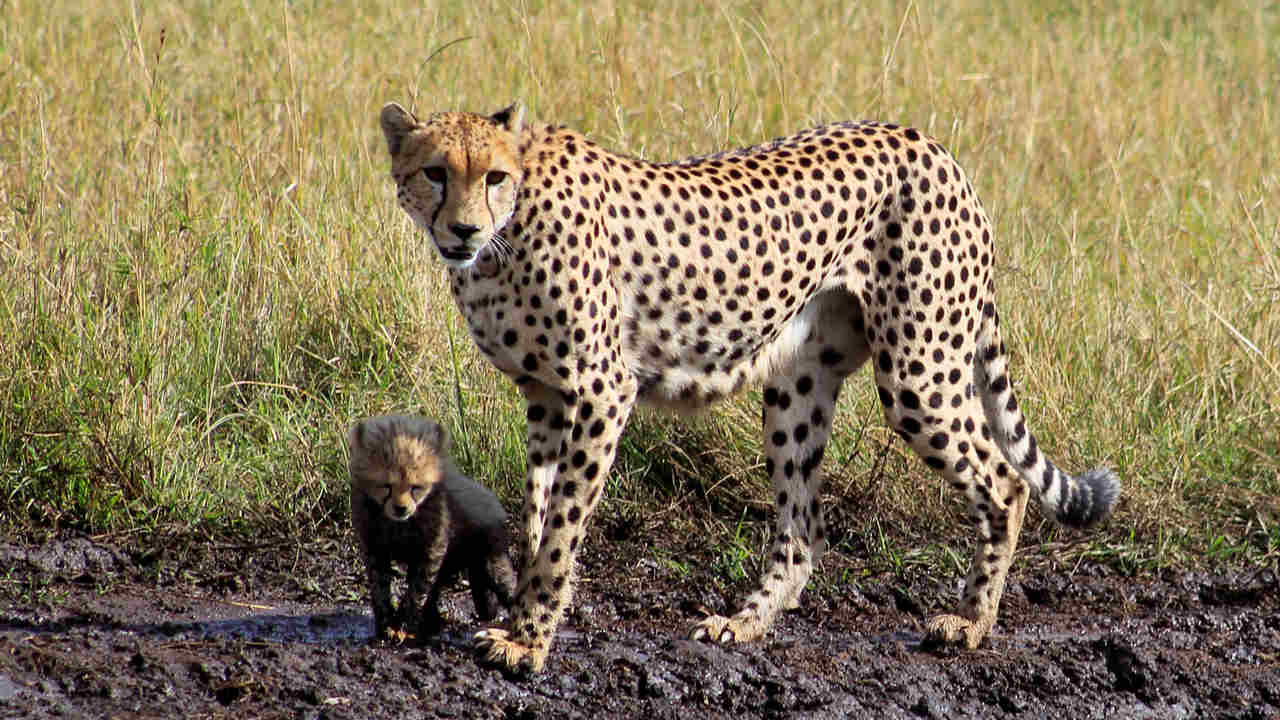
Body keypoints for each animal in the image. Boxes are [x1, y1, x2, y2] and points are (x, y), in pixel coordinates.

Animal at [347, 413, 517, 643]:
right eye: (386, 486)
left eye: (415, 487)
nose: (401, 508)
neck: (399, 523)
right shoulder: (374, 547)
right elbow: (379, 587)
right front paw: (385, 625)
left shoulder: (432, 550)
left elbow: (417, 590)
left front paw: (402, 625)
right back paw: (432, 622)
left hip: (490, 558)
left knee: (507, 583)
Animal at [377, 99, 1120, 672]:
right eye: (436, 173)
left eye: (494, 177)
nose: (464, 228)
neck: (504, 239)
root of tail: (928, 143)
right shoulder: (546, 396)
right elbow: (539, 516)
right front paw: (524, 617)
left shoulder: (601, 390)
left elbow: (562, 524)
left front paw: (528, 644)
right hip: (799, 383)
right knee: (802, 530)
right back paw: (745, 623)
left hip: (919, 371)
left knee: (1006, 482)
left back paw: (971, 624)